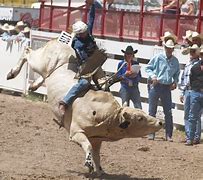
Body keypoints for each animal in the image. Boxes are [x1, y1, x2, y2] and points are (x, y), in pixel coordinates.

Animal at [6, 39, 163, 176]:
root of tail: (62, 45)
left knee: (40, 73)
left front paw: (99, 171)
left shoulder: (97, 139)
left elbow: (97, 155)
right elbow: (87, 147)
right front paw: (88, 164)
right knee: (27, 52)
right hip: (39, 62)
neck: (107, 115)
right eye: (139, 118)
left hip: (46, 71)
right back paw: (12, 73)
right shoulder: (76, 133)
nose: (160, 122)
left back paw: (33, 85)